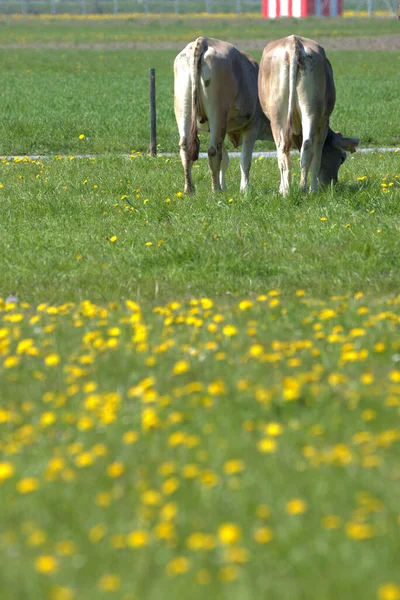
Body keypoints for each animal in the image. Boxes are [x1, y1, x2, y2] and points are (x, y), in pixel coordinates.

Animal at [174, 36, 272, 195]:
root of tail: (204, 40)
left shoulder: (223, 130)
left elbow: (225, 160)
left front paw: (225, 186)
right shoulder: (252, 127)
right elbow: (245, 160)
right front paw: (245, 188)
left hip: (184, 108)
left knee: (186, 148)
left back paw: (190, 189)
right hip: (217, 112)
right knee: (213, 151)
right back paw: (215, 190)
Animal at [258, 35, 360, 196]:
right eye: (342, 157)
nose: (333, 183)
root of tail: (293, 42)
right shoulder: (323, 123)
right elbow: (316, 157)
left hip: (283, 114)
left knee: (288, 149)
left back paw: (295, 190)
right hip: (308, 111)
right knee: (304, 146)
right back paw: (302, 189)